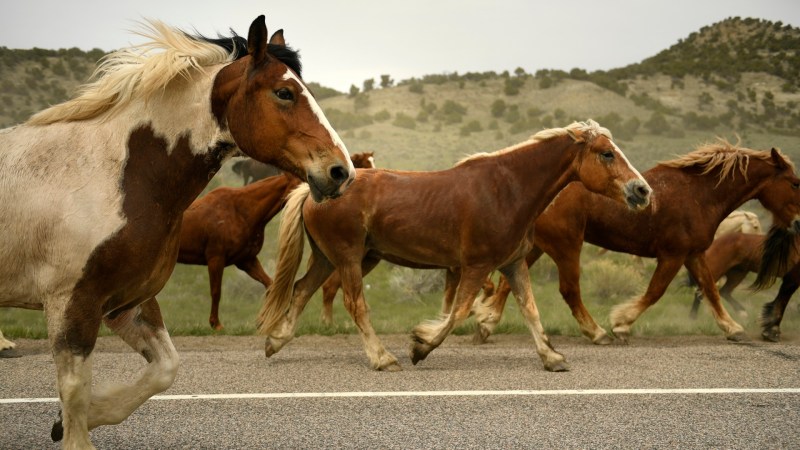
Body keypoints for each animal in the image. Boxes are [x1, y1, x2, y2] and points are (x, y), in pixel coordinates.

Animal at [0, 15, 356, 448]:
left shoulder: (125, 302)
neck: (115, 177)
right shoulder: (72, 304)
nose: (341, 171)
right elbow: (74, 392)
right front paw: (71, 426)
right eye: (284, 92)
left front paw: (73, 419)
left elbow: (164, 370)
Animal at [178, 153, 376, 328]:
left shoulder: (246, 260)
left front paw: (264, 319)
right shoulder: (216, 259)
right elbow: (216, 291)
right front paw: (216, 324)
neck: (240, 210)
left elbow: (270, 285)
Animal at [472, 142, 800, 346]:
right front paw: (621, 324)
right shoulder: (672, 255)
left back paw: (486, 325)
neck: (699, 194)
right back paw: (597, 333)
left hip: (538, 246)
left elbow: (710, 290)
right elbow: (655, 292)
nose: (798, 223)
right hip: (566, 245)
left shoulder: (693, 254)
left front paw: (733, 328)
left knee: (509, 284)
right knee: (568, 290)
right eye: (795, 183)